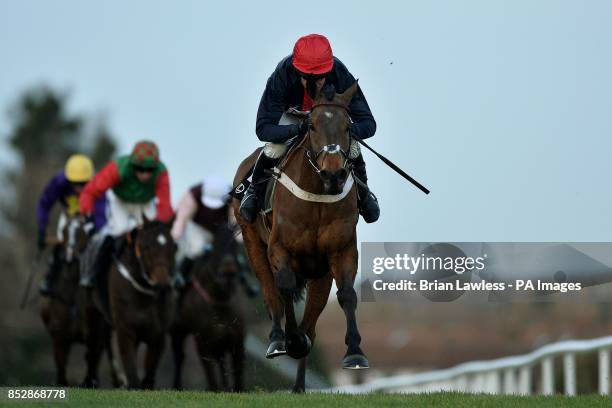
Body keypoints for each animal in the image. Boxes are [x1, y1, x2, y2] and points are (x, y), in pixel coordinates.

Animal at [40, 215, 120, 388]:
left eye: (82, 234)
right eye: (63, 232)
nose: (70, 257)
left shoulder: (94, 333)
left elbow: (92, 358)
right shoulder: (59, 338)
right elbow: (61, 372)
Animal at [171, 223, 245, 392]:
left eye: (235, 247)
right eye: (214, 247)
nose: (228, 271)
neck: (220, 301)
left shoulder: (237, 340)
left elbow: (238, 375)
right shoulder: (203, 343)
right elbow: (211, 378)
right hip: (177, 331)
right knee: (179, 357)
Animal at [233, 82, 368, 392]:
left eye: (347, 127)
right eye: (313, 126)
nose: (334, 173)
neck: (317, 194)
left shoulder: (341, 250)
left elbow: (347, 295)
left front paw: (355, 353)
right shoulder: (279, 249)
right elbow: (283, 288)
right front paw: (291, 341)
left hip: (319, 274)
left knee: (312, 325)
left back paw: (298, 385)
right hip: (253, 244)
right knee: (271, 294)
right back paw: (278, 341)